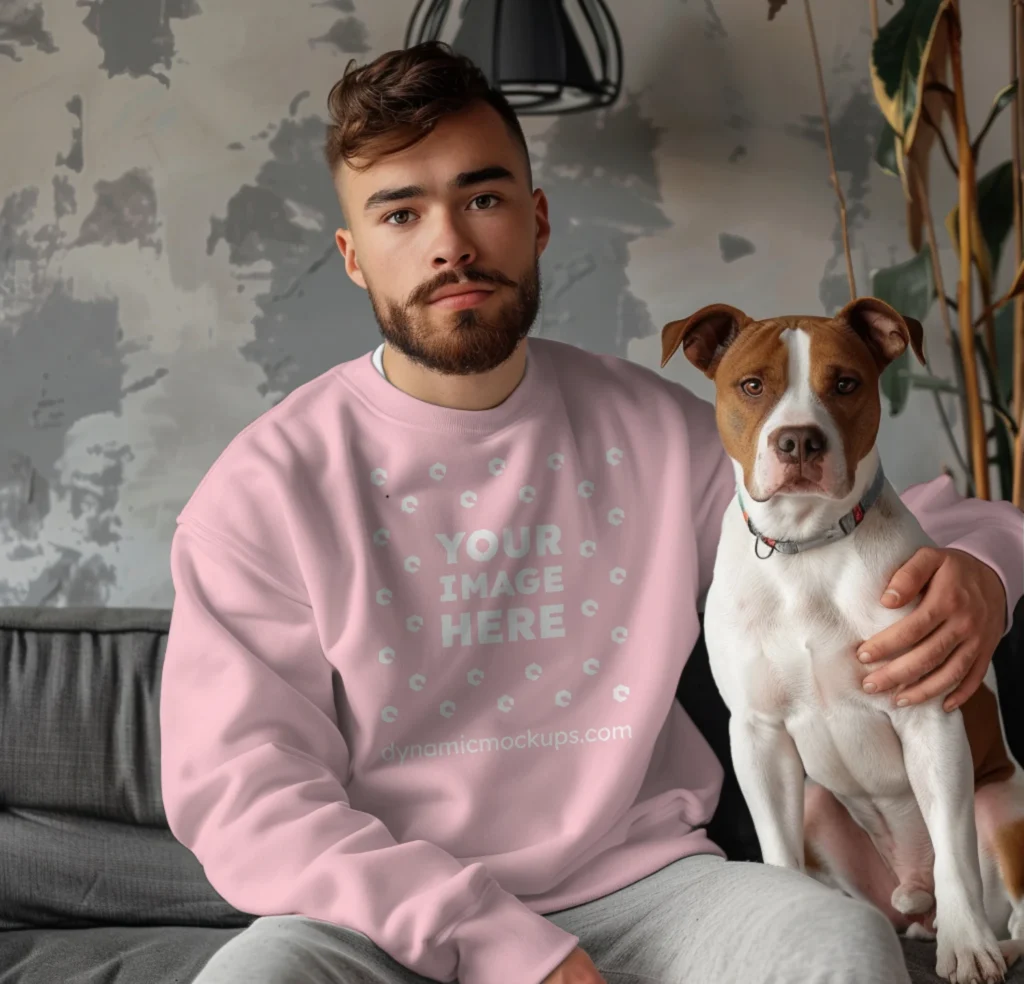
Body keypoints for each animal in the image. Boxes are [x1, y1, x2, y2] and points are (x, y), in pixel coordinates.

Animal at [663, 296, 1024, 982]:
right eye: (752, 385)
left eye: (846, 384)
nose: (799, 439)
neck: (806, 547)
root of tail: (913, 900)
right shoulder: (758, 735)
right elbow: (777, 852)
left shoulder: (928, 717)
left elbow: (953, 849)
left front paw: (967, 948)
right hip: (817, 806)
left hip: (1002, 805)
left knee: (1005, 902)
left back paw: (988, 938)